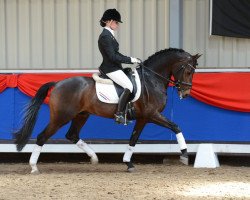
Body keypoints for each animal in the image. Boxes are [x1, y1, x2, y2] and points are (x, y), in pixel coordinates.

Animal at [14, 48, 201, 173]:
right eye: (188, 71)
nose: (185, 93)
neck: (152, 79)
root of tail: (58, 83)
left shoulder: (143, 118)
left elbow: (134, 139)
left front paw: (128, 163)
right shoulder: (152, 114)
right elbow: (176, 126)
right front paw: (184, 155)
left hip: (81, 115)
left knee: (72, 135)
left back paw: (94, 157)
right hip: (61, 117)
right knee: (42, 136)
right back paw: (34, 167)